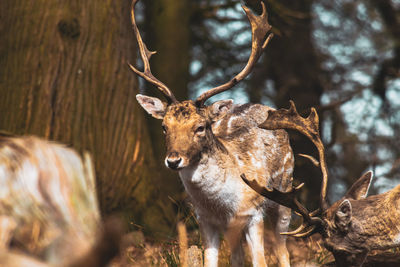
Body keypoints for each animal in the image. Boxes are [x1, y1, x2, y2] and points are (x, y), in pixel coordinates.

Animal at [130, 0, 294, 267]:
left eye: (200, 127)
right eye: (164, 127)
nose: (173, 160)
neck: (221, 204)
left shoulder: (254, 212)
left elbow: (261, 260)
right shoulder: (204, 219)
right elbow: (212, 261)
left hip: (286, 190)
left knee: (283, 250)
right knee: (237, 257)